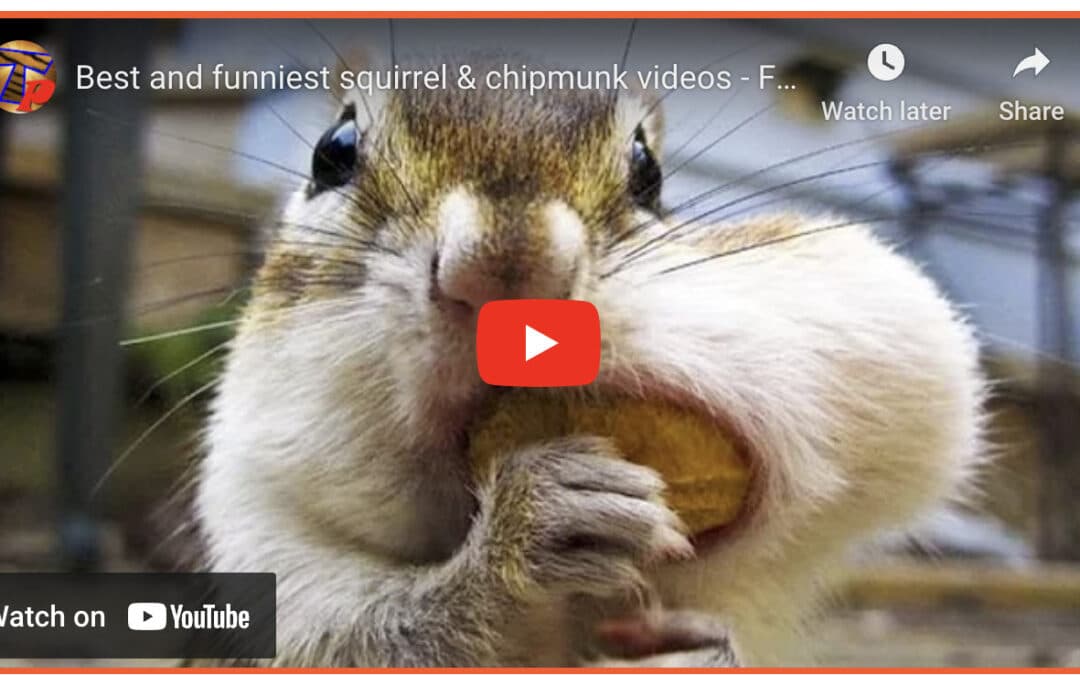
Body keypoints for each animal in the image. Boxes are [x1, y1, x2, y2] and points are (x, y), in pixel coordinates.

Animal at [194, 55, 986, 667]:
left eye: (648, 170)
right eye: (333, 150)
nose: (506, 266)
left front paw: (699, 648)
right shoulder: (270, 553)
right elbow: (371, 636)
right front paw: (536, 525)